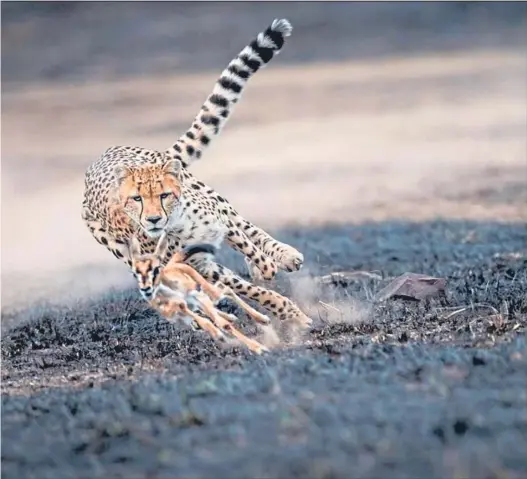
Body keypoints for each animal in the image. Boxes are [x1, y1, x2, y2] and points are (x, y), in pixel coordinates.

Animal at [82, 17, 312, 326]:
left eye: (164, 195)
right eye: (136, 199)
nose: (153, 219)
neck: (179, 225)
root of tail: (101, 157)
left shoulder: (221, 222)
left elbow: (248, 245)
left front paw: (266, 267)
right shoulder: (200, 263)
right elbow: (245, 288)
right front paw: (283, 308)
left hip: (213, 197)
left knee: (249, 227)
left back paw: (283, 255)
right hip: (130, 253)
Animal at [127, 232, 268, 356]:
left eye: (155, 269)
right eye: (135, 272)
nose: (146, 289)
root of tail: (173, 263)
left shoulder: (197, 297)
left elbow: (222, 324)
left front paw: (259, 348)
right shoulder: (181, 313)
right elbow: (206, 322)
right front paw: (220, 335)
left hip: (207, 291)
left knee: (225, 289)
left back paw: (262, 319)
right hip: (197, 302)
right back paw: (231, 318)